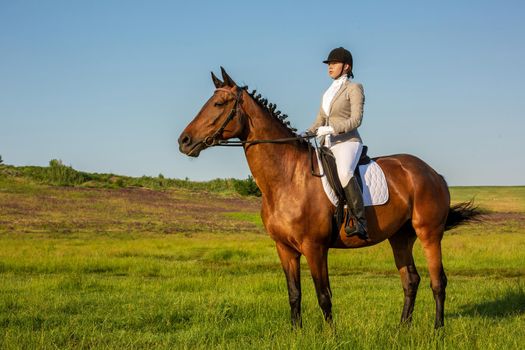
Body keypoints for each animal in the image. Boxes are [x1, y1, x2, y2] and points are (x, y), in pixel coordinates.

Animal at [177, 67, 478, 328]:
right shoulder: (284, 249)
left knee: (438, 282)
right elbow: (294, 294)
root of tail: (433, 173)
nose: (184, 141)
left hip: (429, 234)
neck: (287, 178)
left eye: (219, 104)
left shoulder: (315, 247)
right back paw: (402, 328)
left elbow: (324, 295)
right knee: (411, 280)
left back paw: (437, 329)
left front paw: (331, 335)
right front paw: (296, 332)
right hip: (400, 237)